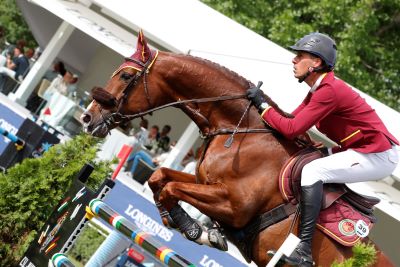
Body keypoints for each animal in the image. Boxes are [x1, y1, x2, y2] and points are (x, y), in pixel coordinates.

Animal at [82, 31, 394, 267]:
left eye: (125, 76)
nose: (87, 118)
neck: (240, 130)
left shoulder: (234, 206)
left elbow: (171, 188)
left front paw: (196, 231)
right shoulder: (204, 182)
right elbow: (159, 178)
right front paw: (188, 226)